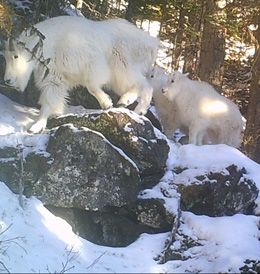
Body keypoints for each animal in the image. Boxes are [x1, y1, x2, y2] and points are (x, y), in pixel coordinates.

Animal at [2, 15, 158, 133]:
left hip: (123, 65)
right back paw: (124, 102)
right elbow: (49, 100)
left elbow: (91, 86)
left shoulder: (93, 65)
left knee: (146, 85)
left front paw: (106, 103)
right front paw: (36, 126)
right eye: (6, 57)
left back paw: (138, 110)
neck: (48, 44)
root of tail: (153, 43)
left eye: (15, 56)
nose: (7, 80)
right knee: (138, 85)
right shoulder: (54, 77)